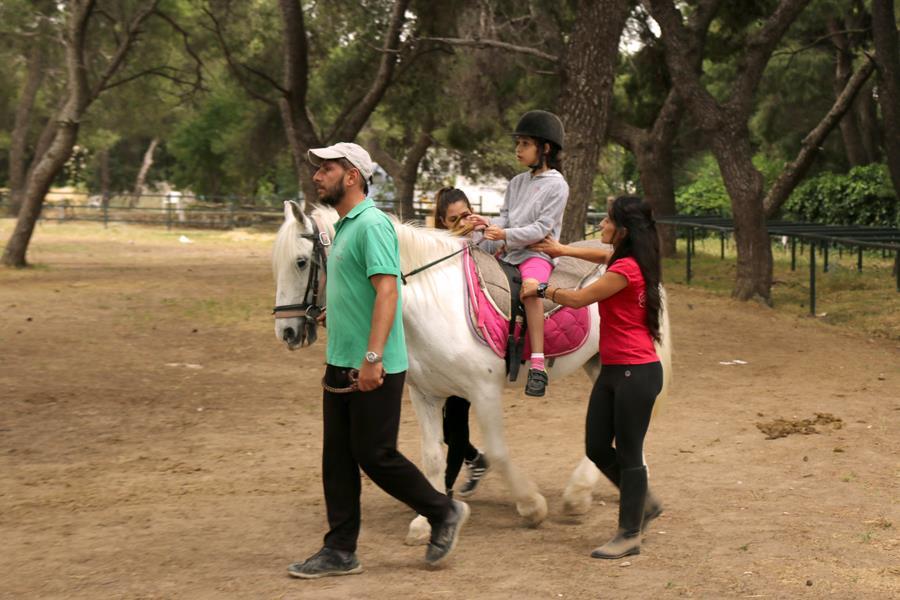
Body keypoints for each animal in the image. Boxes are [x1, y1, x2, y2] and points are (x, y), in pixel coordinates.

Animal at [270, 202, 672, 544]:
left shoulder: (483, 390)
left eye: (302, 262)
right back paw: (599, 488)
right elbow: (433, 454)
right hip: (599, 363)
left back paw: (580, 495)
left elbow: (496, 451)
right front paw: (425, 522)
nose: (286, 332)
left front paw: (531, 507)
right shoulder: (426, 394)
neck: (434, 301)